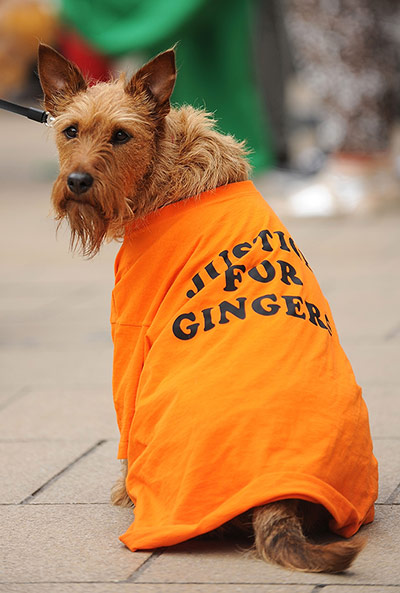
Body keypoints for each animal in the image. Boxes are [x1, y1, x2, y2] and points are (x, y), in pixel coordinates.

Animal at [37, 44, 378, 572]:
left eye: (122, 135)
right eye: (70, 130)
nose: (76, 181)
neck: (168, 171)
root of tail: (280, 495)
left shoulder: (130, 330)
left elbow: (123, 417)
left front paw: (122, 488)